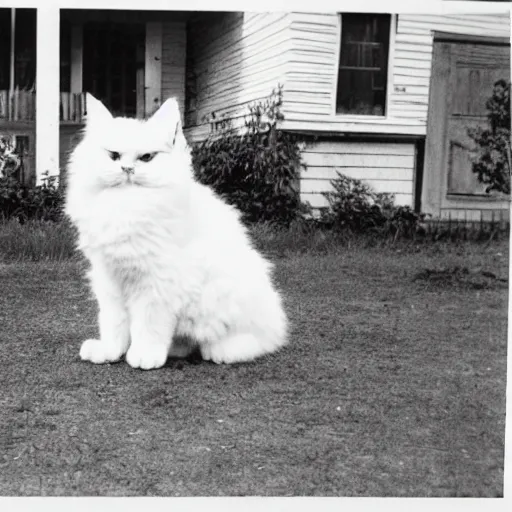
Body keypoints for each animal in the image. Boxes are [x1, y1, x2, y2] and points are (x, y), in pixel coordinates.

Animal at [64, 95, 288, 368]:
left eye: (146, 158)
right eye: (114, 155)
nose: (127, 169)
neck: (128, 204)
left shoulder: (156, 284)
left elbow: (148, 325)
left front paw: (144, 356)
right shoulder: (110, 280)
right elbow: (113, 323)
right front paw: (109, 352)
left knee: (253, 340)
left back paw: (222, 351)